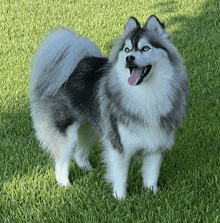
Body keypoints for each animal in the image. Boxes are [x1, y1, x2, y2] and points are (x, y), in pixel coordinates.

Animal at [28, 16, 187, 200]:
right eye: (127, 49)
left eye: (145, 48)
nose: (129, 58)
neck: (146, 93)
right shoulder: (118, 144)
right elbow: (120, 176)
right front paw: (120, 199)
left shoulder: (155, 142)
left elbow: (151, 175)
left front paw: (151, 194)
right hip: (67, 133)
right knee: (61, 162)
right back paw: (65, 185)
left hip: (93, 129)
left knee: (79, 153)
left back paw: (89, 171)